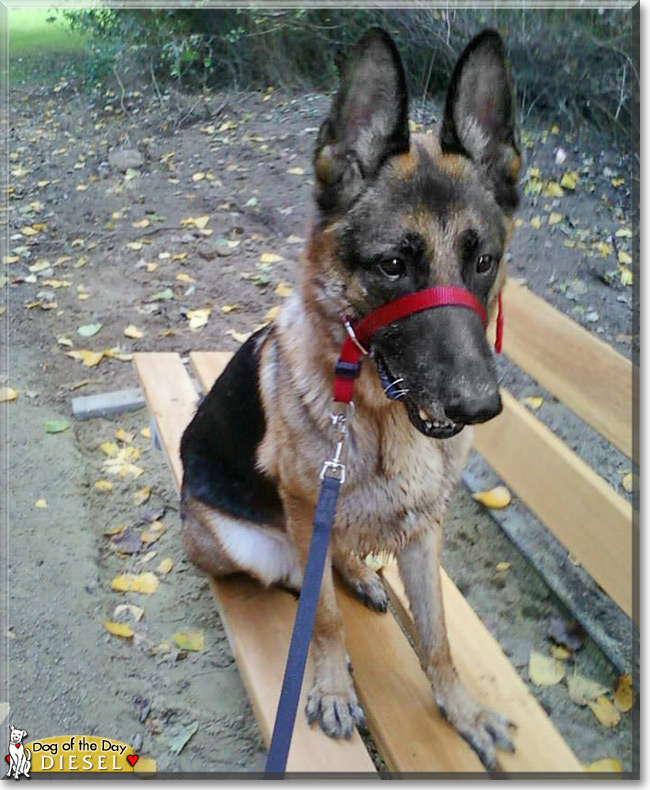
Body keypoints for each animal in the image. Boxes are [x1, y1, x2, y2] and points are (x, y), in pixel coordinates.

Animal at [180, 27, 520, 772]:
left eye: (483, 260)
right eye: (393, 265)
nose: (480, 407)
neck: (381, 419)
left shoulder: (424, 529)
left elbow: (437, 636)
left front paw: (462, 711)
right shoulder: (306, 504)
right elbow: (325, 618)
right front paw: (333, 686)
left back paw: (359, 573)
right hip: (243, 540)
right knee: (295, 575)